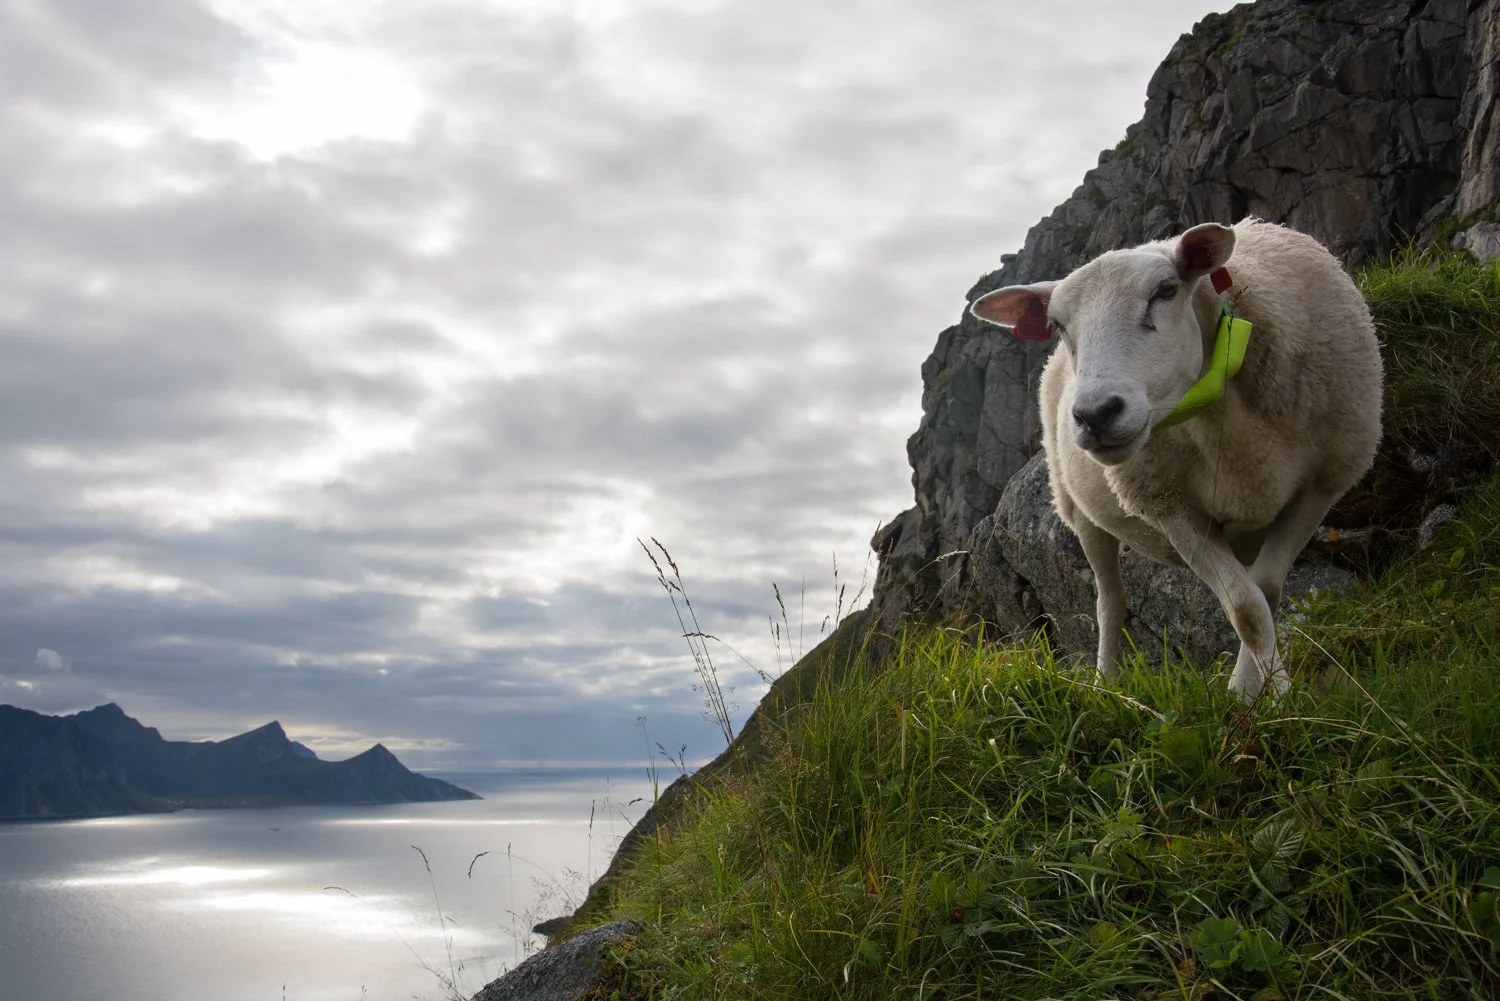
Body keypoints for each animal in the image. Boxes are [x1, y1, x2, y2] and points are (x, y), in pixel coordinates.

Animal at [969, 219, 1382, 700]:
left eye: (1166, 290)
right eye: (1057, 324)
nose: (1095, 415)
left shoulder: (1320, 487)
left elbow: (1264, 593)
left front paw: (1259, 691)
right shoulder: (1173, 509)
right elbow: (1246, 607)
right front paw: (1266, 695)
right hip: (1080, 514)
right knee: (1109, 602)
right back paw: (1106, 683)